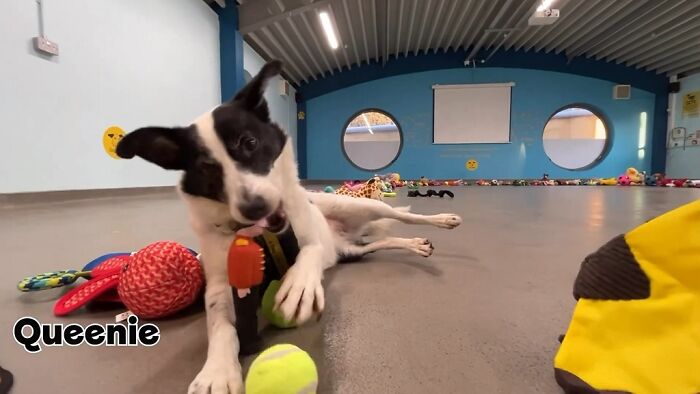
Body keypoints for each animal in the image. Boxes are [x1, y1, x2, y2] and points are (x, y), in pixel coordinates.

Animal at [117, 60, 462, 392]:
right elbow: (220, 325)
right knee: (379, 244)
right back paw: (414, 244)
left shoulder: (308, 239)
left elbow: (307, 255)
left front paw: (298, 287)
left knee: (402, 216)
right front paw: (217, 370)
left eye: (250, 142)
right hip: (351, 252)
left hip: (359, 206)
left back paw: (442, 220)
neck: (260, 235)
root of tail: (344, 234)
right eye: (205, 167)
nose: (254, 207)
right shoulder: (220, 281)